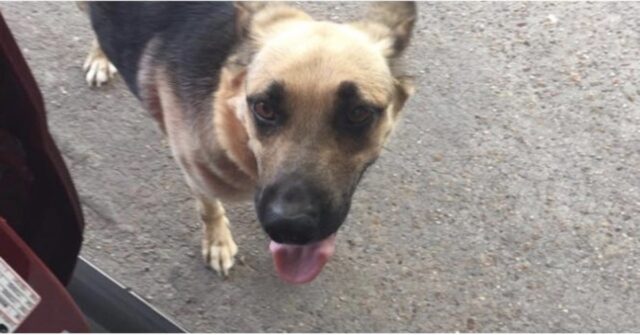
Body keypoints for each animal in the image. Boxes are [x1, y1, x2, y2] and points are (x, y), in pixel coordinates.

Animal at [81, 1, 416, 286]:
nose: (291, 226)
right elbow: (209, 209)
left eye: (358, 113)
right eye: (264, 108)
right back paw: (99, 57)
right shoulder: (193, 171)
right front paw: (218, 242)